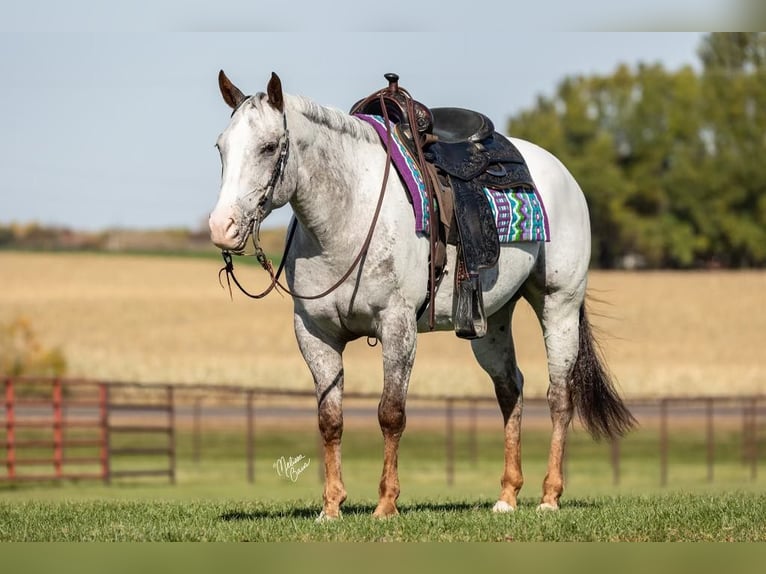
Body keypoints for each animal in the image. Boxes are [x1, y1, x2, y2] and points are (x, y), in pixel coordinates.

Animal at [210, 70, 636, 520]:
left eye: (268, 147)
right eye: (221, 147)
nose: (222, 227)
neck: (347, 217)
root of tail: (561, 174)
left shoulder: (397, 326)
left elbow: (391, 413)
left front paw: (386, 504)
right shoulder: (314, 333)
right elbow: (330, 418)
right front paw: (331, 506)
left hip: (559, 303)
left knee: (559, 395)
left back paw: (550, 496)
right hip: (491, 321)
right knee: (510, 390)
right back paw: (506, 496)